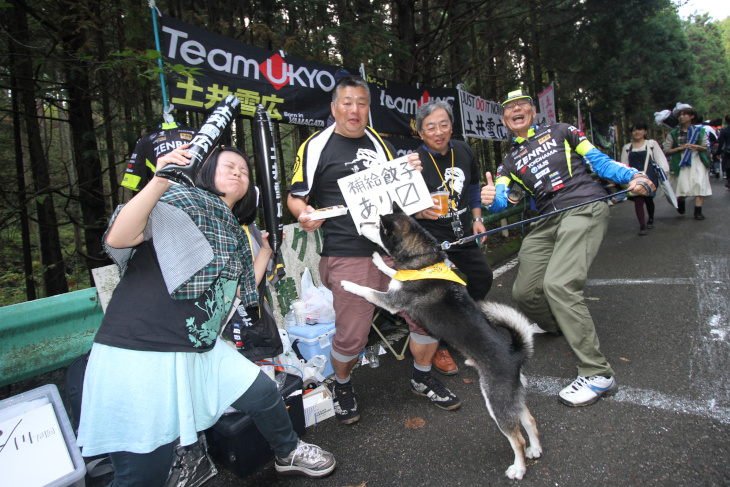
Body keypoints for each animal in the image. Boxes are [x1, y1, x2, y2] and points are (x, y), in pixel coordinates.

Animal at [338, 210, 536, 480]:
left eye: (377, 225)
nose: (359, 222)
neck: (422, 261)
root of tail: (515, 355)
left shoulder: (391, 302)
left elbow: (367, 290)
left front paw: (349, 284)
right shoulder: (398, 284)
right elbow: (392, 273)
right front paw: (380, 262)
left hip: (496, 399)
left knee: (517, 438)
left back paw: (518, 467)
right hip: (512, 395)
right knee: (529, 420)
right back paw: (535, 449)